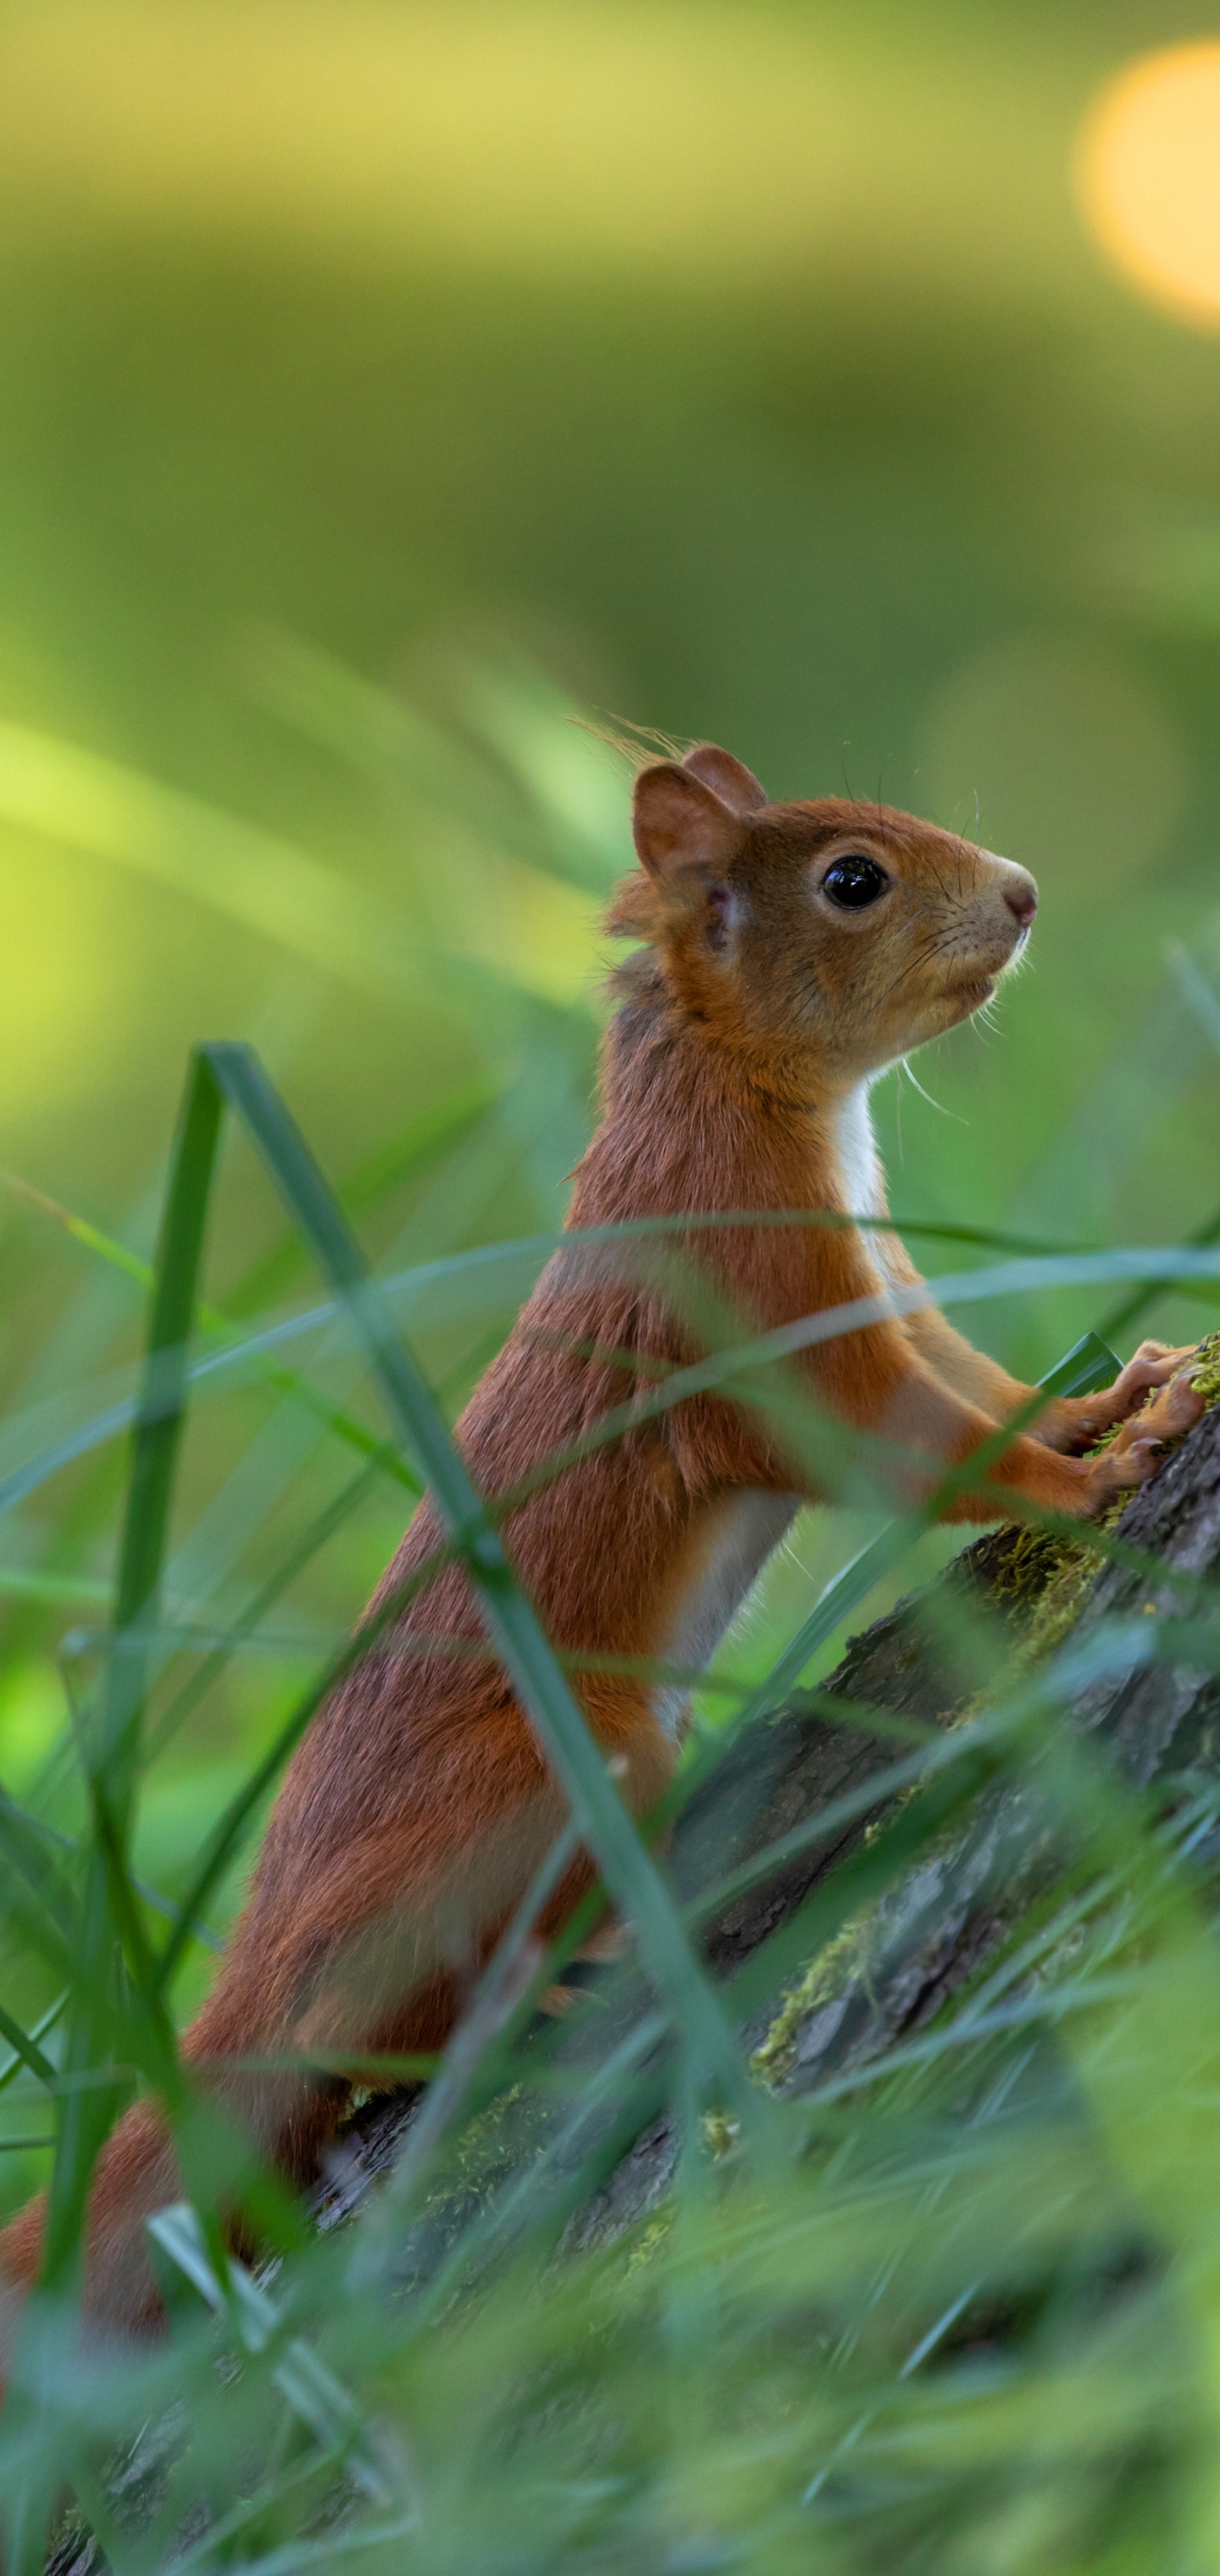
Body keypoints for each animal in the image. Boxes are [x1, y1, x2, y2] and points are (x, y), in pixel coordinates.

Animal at [0, 741, 1199, 2359]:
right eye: (853, 881)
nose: (1019, 893)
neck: (755, 1095)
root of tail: (254, 1973)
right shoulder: (761, 1308)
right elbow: (915, 1444)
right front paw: (1090, 1485)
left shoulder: (885, 1275)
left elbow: (985, 1387)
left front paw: (1115, 1402)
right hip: (561, 1772)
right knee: (359, 2040)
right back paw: (537, 2000)